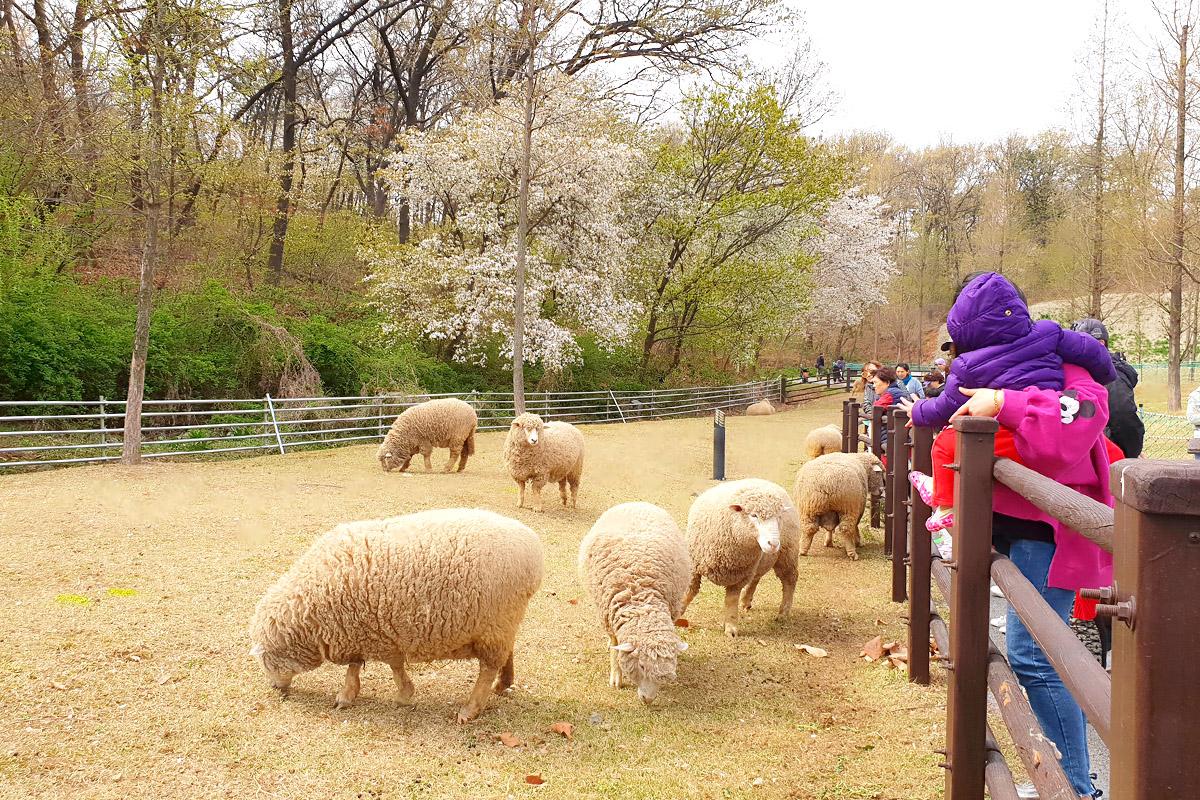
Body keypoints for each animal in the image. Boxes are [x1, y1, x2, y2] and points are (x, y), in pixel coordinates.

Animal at [248, 508, 544, 723]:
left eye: (265, 661)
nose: (274, 688)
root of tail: (533, 546)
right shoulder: (365, 631)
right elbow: (361, 665)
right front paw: (353, 694)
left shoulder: (375, 633)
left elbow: (389, 666)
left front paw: (397, 695)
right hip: (501, 624)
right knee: (507, 654)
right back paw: (503, 685)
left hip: (496, 622)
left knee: (488, 668)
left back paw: (470, 709)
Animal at [578, 502, 692, 705]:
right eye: (642, 666)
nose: (648, 699)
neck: (642, 598)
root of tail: (639, 503)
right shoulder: (608, 615)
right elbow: (615, 648)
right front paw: (616, 677)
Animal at [682, 478, 800, 637]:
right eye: (754, 515)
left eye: (779, 517)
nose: (774, 544)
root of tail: (767, 482)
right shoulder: (693, 567)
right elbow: (689, 593)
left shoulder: (738, 577)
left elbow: (731, 601)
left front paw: (731, 628)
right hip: (759, 562)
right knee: (756, 578)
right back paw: (746, 601)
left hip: (787, 556)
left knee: (789, 581)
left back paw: (783, 613)